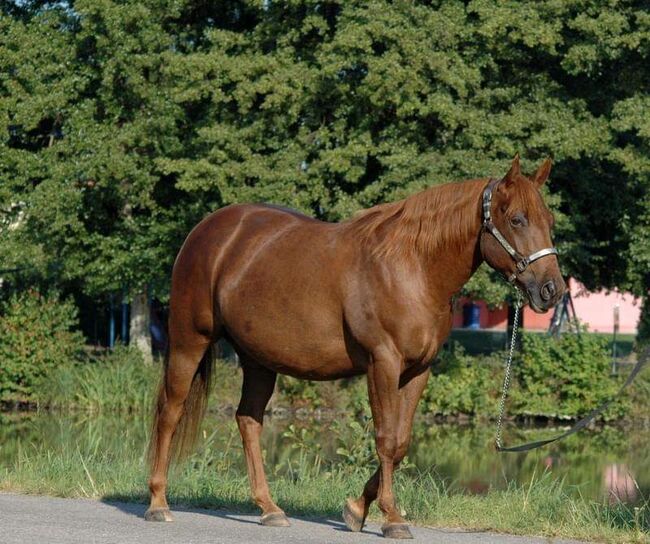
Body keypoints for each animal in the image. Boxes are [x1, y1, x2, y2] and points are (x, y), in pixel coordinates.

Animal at [146, 155, 560, 536]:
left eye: (550, 221)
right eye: (517, 219)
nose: (551, 290)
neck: (413, 268)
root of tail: (206, 230)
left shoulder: (418, 371)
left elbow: (402, 442)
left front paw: (357, 509)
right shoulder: (383, 364)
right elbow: (386, 439)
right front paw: (391, 518)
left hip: (258, 359)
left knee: (248, 420)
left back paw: (269, 508)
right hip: (189, 341)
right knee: (170, 411)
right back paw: (158, 502)